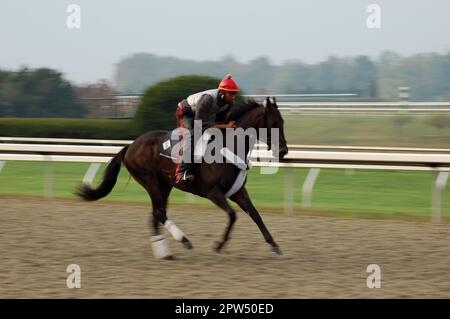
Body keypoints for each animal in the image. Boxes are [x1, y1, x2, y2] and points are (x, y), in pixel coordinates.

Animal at [76, 97, 288, 260]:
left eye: (283, 122)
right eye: (274, 124)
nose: (284, 151)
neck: (229, 147)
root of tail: (130, 146)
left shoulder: (238, 191)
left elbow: (255, 215)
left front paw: (274, 245)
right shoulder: (213, 193)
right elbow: (232, 215)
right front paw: (219, 244)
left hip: (165, 185)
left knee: (156, 214)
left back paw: (164, 252)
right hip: (150, 180)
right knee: (159, 213)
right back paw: (184, 240)